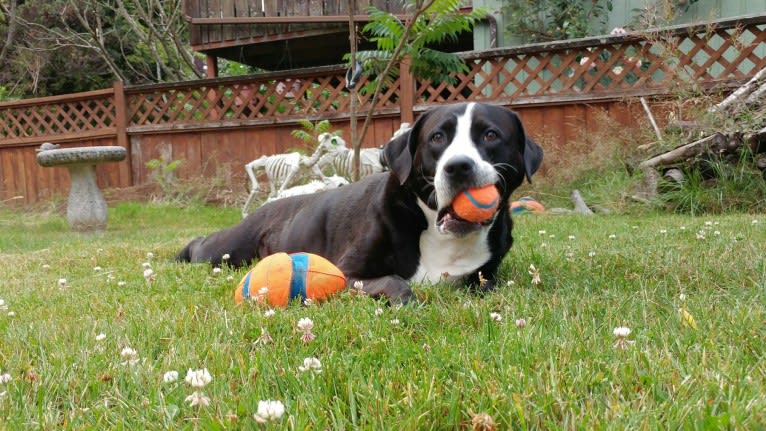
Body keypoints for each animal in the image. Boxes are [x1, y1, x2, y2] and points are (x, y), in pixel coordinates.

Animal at [177, 102, 544, 304]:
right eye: (437, 137)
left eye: (491, 135)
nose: (459, 167)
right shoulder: (349, 273)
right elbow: (394, 280)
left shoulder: (485, 276)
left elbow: (486, 282)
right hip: (226, 249)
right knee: (203, 246)